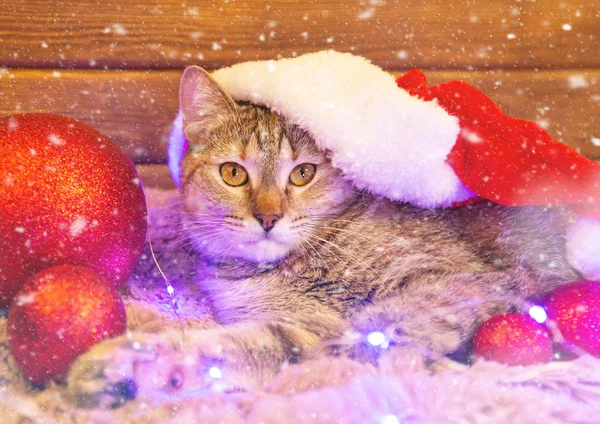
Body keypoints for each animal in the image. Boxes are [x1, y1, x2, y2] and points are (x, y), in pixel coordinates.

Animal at [68, 65, 580, 408]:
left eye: (303, 173)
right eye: (233, 173)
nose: (268, 217)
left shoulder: (458, 282)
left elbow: (364, 332)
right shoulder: (287, 319)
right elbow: (211, 335)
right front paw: (129, 345)